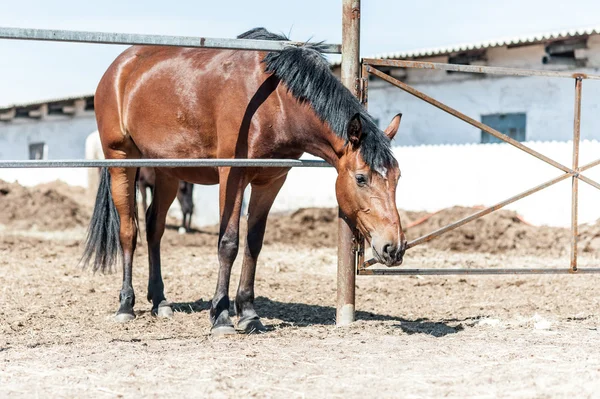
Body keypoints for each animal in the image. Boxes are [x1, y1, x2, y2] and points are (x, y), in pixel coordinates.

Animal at [79, 26, 406, 336]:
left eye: (397, 178)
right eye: (361, 178)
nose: (394, 248)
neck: (275, 98)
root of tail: (118, 68)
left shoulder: (270, 180)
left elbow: (253, 243)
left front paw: (249, 314)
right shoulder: (232, 174)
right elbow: (228, 243)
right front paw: (221, 316)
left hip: (168, 171)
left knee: (154, 227)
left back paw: (160, 301)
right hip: (122, 160)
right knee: (128, 230)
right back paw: (126, 304)